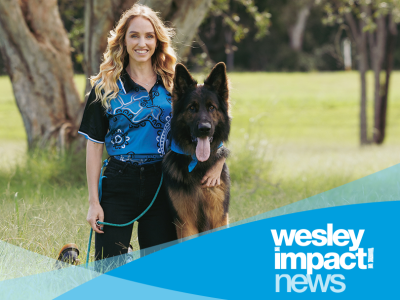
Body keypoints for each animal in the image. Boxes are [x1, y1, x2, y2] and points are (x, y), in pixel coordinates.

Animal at [162, 62, 231, 238]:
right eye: (192, 108)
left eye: (211, 107)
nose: (204, 129)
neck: (199, 165)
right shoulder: (185, 222)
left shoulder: (218, 217)